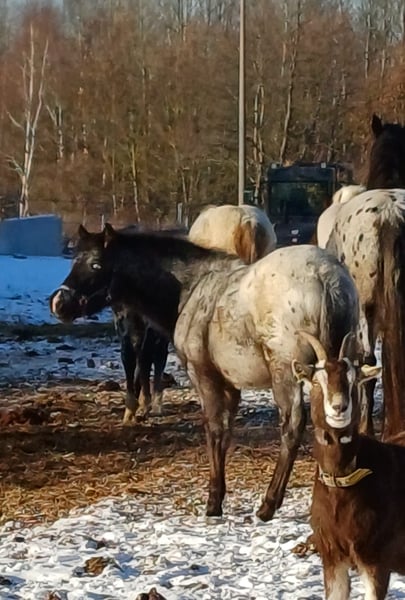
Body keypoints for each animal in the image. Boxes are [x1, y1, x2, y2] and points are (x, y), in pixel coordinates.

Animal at [50, 224, 360, 521]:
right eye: (74, 259)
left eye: (96, 264)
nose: (59, 303)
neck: (191, 290)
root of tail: (326, 279)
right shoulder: (231, 385)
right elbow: (225, 431)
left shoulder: (203, 375)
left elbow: (214, 430)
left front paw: (214, 502)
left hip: (285, 373)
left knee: (292, 426)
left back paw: (268, 505)